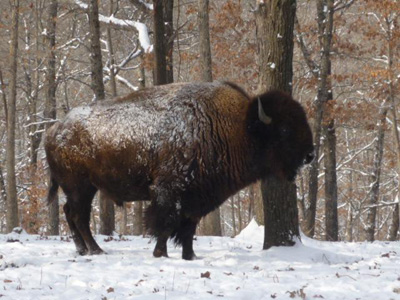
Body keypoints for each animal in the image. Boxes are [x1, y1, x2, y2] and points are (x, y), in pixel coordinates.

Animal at [45, 81, 314, 258]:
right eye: (285, 130)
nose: (310, 155)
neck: (238, 128)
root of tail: (55, 129)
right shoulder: (168, 192)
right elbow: (166, 224)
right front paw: (160, 254)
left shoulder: (197, 198)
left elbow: (188, 228)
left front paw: (190, 256)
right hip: (80, 187)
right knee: (78, 216)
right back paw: (96, 250)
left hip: (83, 188)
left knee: (70, 213)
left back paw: (84, 250)